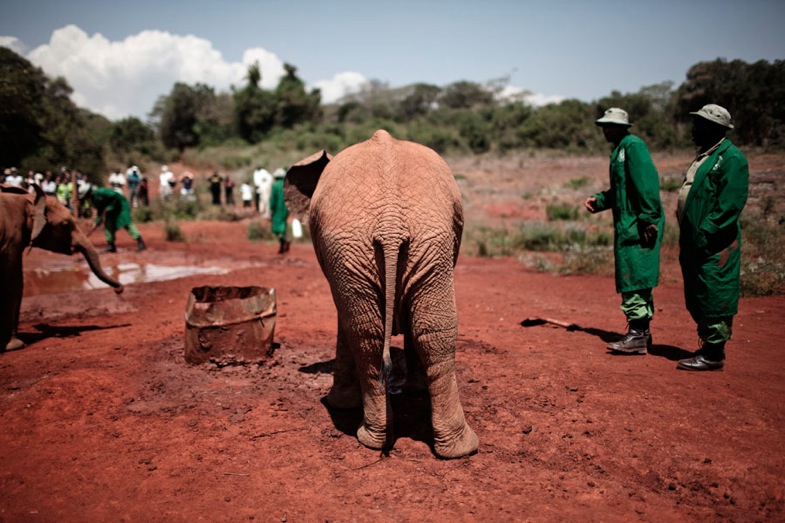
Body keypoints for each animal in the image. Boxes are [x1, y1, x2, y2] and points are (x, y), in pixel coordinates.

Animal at [0, 184, 123, 352]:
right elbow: (14, 282)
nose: (118, 290)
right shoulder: (11, 239)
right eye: (65, 225)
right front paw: (15, 346)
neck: (29, 199)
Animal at [282, 130, 478, 458]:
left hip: (400, 241)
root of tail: (390, 220)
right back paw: (451, 448)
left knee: (375, 333)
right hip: (393, 243)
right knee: (416, 333)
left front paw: (341, 404)